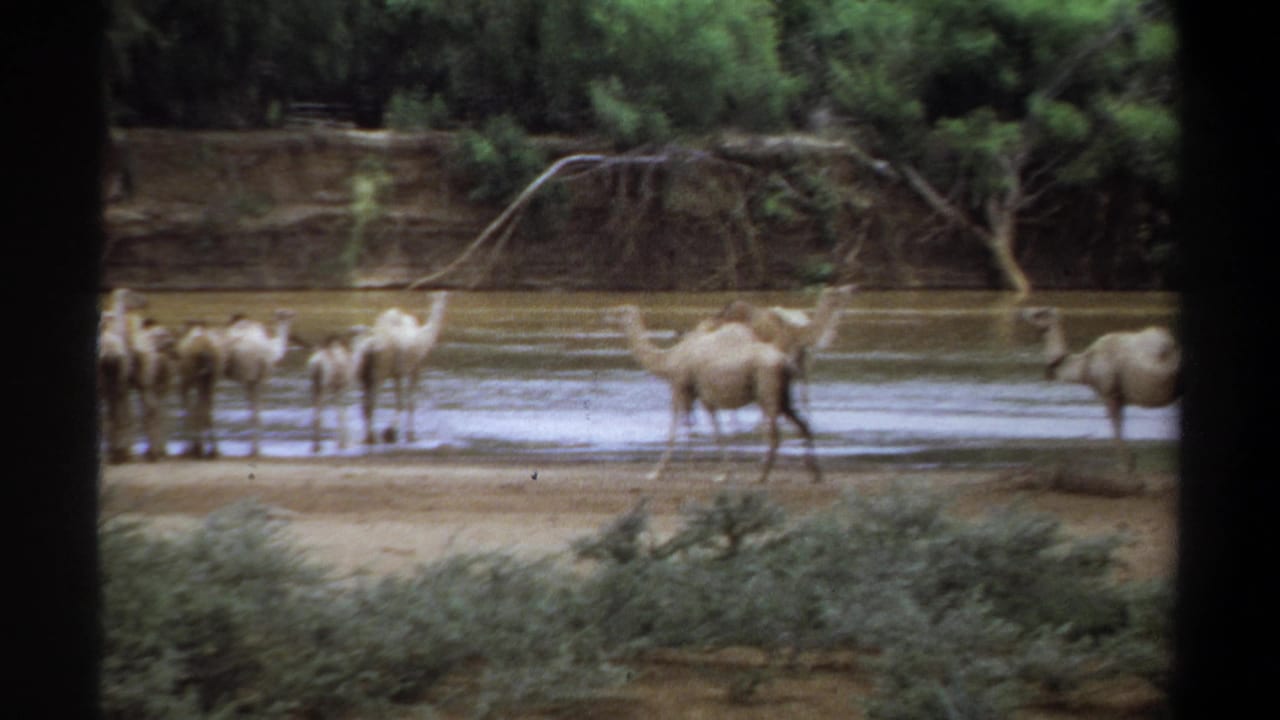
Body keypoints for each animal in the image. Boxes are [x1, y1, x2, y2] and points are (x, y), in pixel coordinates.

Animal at [222, 309, 297, 457]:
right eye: (285, 313)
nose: (294, 314)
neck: (274, 349)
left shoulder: (250, 381)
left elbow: (252, 412)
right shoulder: (259, 378)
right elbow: (257, 412)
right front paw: (256, 449)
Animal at [354, 291, 449, 445]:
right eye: (443, 298)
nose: (443, 300)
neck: (425, 338)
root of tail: (368, 347)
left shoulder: (397, 373)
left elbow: (400, 402)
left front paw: (390, 431)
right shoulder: (414, 368)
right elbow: (410, 402)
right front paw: (393, 431)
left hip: (362, 374)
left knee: (365, 406)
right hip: (378, 372)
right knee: (371, 404)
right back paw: (372, 436)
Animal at [609, 305, 822, 484]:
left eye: (620, 311)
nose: (607, 316)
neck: (669, 360)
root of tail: (785, 362)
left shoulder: (680, 386)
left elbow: (678, 429)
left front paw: (656, 472)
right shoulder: (700, 395)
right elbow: (702, 429)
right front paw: (711, 471)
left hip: (768, 391)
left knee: (775, 434)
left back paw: (761, 477)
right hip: (783, 396)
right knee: (803, 424)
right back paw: (814, 474)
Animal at [1019, 306, 1181, 474]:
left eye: (1039, 313)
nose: (1022, 312)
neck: (1084, 367)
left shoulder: (1109, 393)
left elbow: (1116, 426)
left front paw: (1124, 466)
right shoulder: (1120, 397)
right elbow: (1120, 424)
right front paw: (1130, 463)